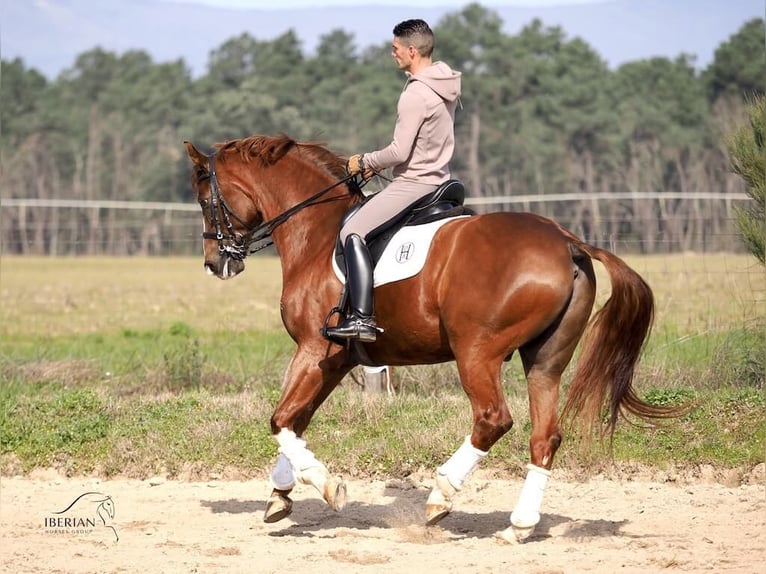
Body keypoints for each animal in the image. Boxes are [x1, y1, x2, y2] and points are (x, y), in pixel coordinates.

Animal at [184, 134, 677, 543]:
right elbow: (295, 420)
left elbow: (280, 419)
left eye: (206, 199)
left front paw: (325, 486)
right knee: (545, 436)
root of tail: (567, 241)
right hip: (544, 360)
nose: (215, 263)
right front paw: (280, 495)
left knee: (493, 420)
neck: (317, 232)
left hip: (476, 352)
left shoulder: (315, 349)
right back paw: (518, 526)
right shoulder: (337, 360)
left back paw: (441, 496)